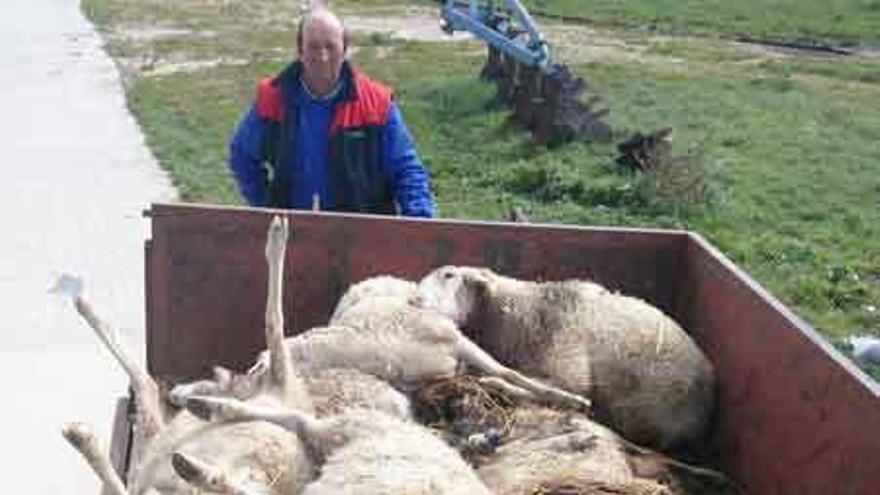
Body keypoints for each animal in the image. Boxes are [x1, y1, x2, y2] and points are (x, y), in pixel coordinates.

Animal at [418, 268, 716, 450]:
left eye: (449, 275)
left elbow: (550, 389)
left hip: (635, 407)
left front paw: (492, 382)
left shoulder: (570, 370)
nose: (417, 301)